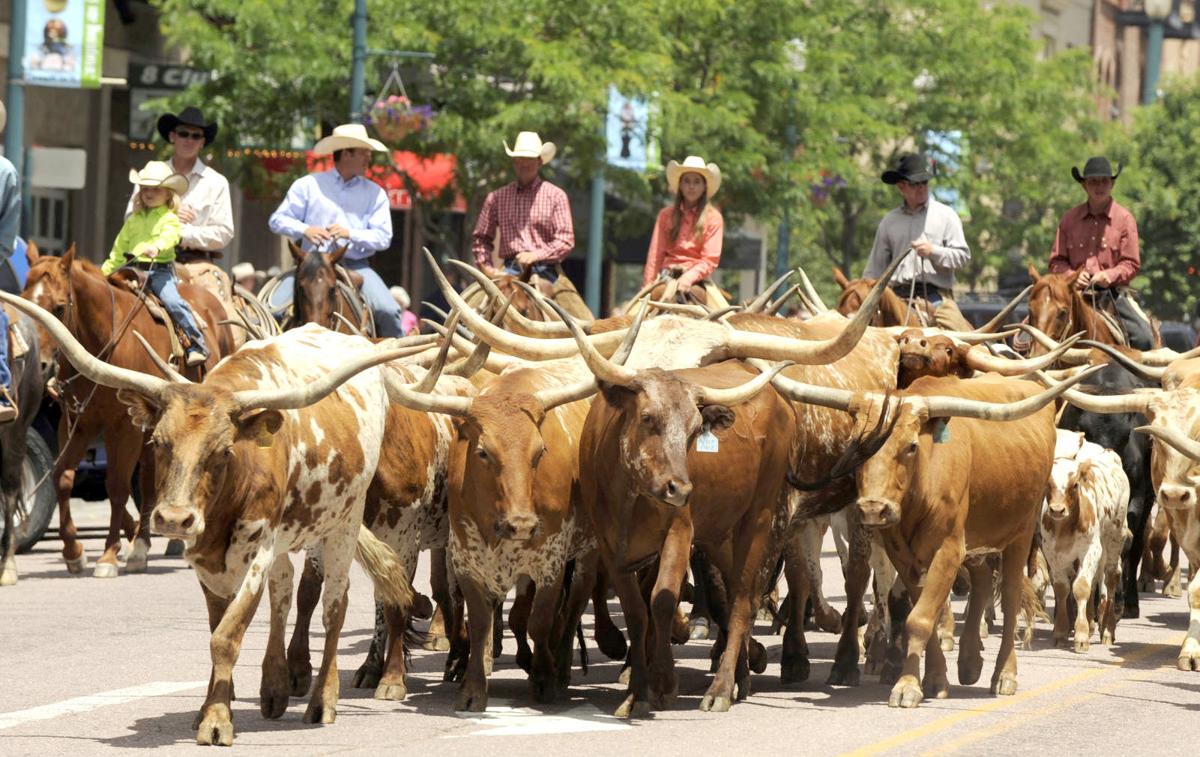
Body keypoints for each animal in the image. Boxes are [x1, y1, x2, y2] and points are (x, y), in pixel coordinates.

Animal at [21, 245, 234, 578]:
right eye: (24, 298)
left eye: (58, 307)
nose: (39, 365)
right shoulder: (77, 423)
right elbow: (62, 478)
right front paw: (73, 553)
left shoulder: (123, 426)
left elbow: (117, 486)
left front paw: (108, 556)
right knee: (148, 479)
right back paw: (141, 547)